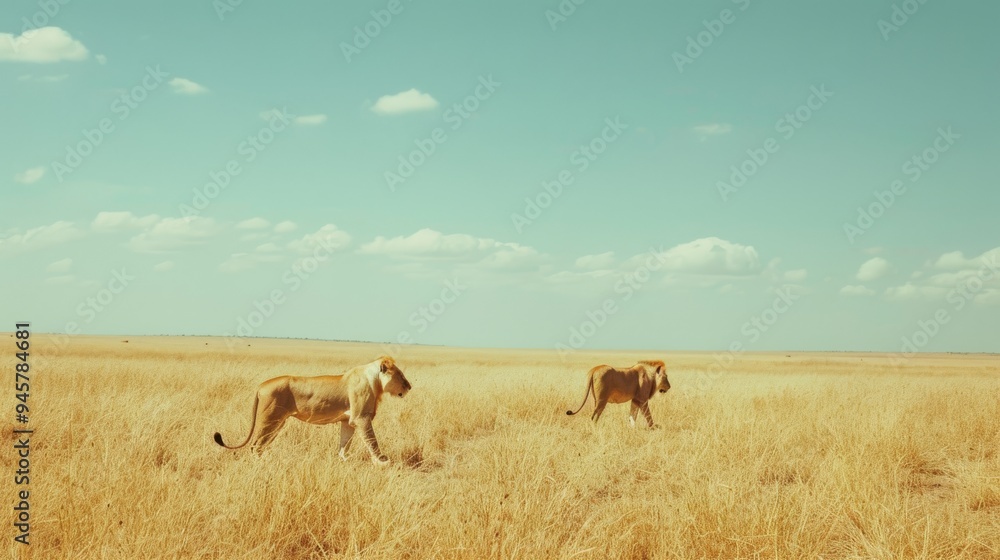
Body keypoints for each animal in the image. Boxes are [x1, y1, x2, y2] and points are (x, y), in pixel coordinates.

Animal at [213, 355, 411, 465]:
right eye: (401, 375)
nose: (410, 386)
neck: (376, 382)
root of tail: (261, 385)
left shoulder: (348, 421)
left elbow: (344, 443)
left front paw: (344, 460)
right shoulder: (361, 418)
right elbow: (372, 440)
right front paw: (381, 461)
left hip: (277, 423)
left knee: (260, 445)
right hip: (269, 420)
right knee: (255, 445)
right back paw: (263, 463)